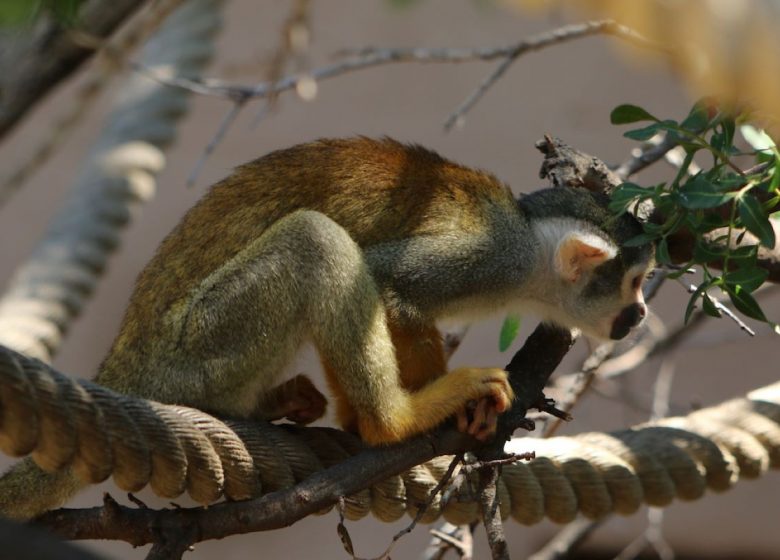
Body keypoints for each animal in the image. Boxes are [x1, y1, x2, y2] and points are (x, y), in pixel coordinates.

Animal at [0, 137, 652, 520]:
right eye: (633, 284)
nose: (642, 314)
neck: (531, 249)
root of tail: (122, 364)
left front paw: (355, 418)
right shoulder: (496, 256)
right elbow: (385, 279)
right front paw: (418, 410)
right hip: (197, 344)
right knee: (317, 240)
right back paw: (395, 418)